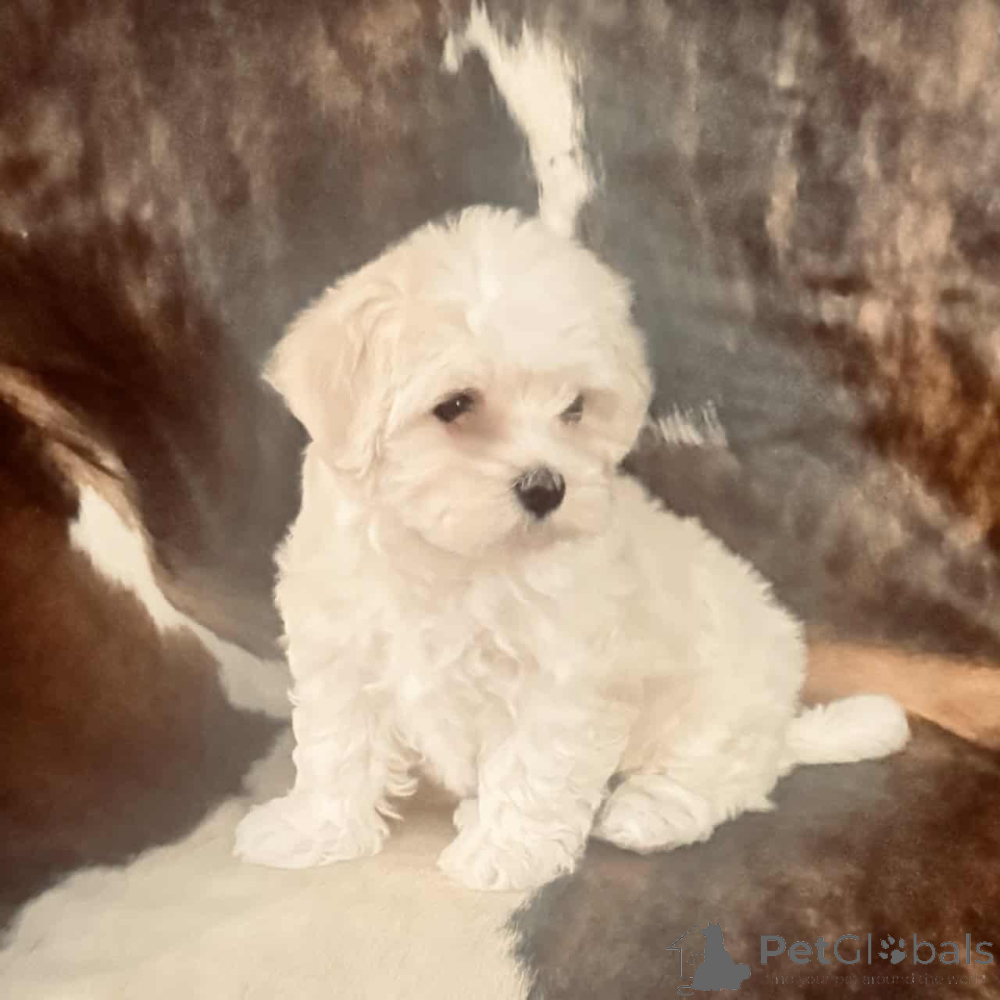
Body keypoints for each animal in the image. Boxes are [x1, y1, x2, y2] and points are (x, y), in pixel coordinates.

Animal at [234, 206, 909, 891]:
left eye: (575, 408)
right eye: (455, 405)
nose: (546, 487)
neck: (452, 558)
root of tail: (781, 728)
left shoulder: (561, 675)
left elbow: (533, 765)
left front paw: (506, 851)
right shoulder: (341, 648)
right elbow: (337, 746)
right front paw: (313, 829)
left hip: (724, 700)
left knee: (719, 776)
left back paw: (648, 811)